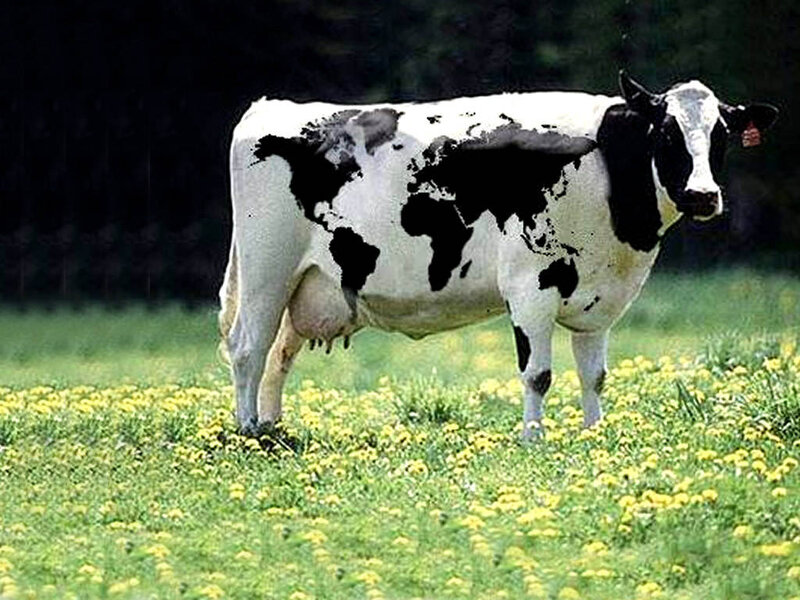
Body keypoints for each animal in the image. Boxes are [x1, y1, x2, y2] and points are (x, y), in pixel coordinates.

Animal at [219, 71, 777, 438]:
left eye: (722, 135)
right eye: (666, 132)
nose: (703, 196)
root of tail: (272, 106)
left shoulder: (599, 298)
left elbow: (594, 375)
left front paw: (595, 435)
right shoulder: (531, 285)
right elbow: (538, 374)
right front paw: (533, 439)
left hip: (308, 283)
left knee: (279, 354)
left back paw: (272, 429)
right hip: (267, 271)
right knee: (248, 348)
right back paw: (247, 431)